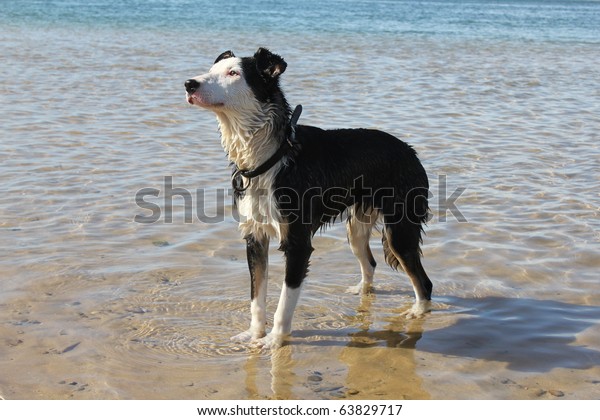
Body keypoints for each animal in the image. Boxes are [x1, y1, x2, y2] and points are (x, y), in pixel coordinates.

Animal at [185, 47, 434, 348]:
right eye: (212, 69)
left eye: (233, 73)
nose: (189, 84)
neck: (272, 156)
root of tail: (410, 151)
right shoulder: (255, 237)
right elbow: (256, 297)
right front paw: (253, 334)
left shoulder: (298, 244)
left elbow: (284, 301)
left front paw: (274, 341)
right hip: (357, 228)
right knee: (371, 263)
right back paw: (363, 292)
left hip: (400, 229)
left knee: (423, 282)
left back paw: (417, 312)